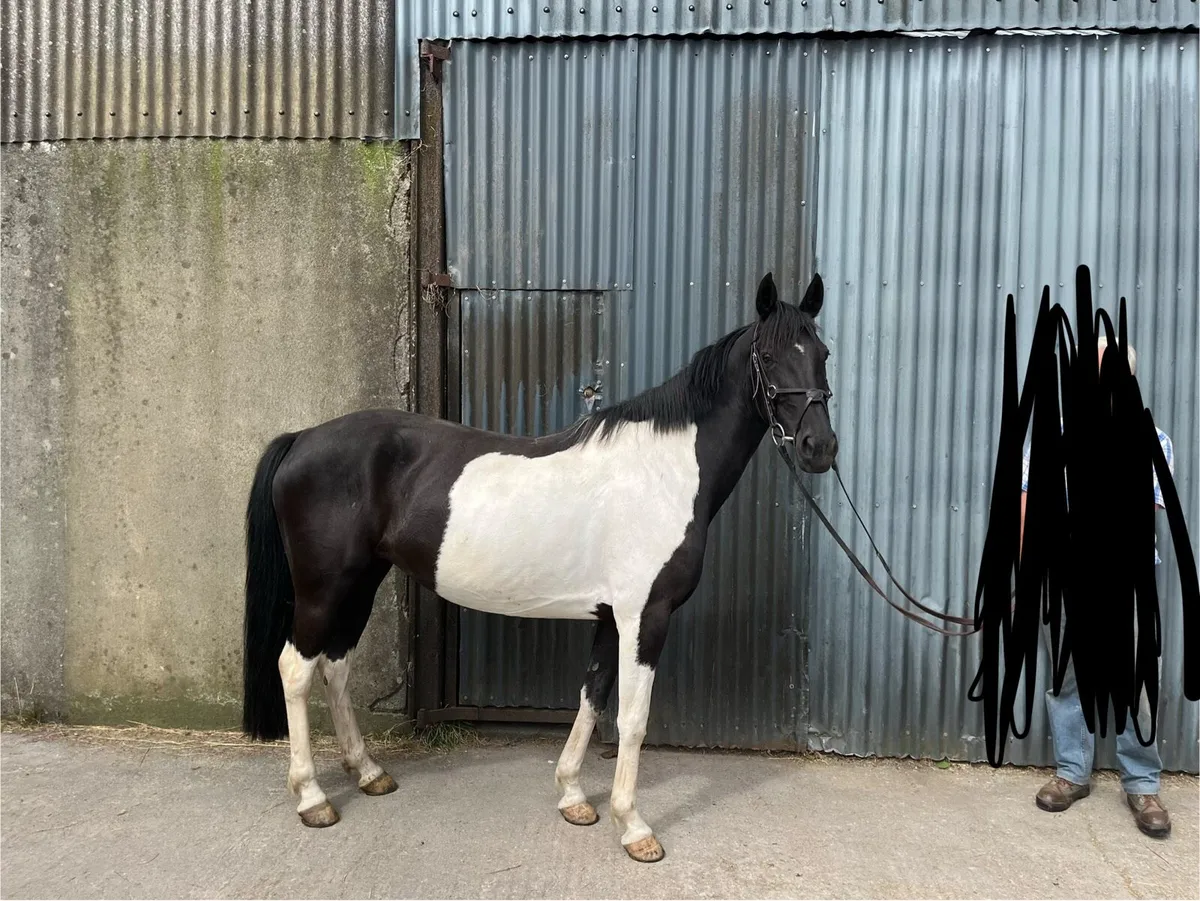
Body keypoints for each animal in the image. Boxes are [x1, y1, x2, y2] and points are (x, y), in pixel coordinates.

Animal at [240, 271, 839, 863]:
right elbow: (633, 719)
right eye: (768, 355)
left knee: (336, 666)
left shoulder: (610, 618)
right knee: (296, 669)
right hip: (323, 588)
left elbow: (593, 697)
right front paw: (634, 826)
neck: (662, 472)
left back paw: (367, 772)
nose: (820, 447)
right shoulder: (645, 616)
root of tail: (302, 439)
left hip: (360, 582)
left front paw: (573, 797)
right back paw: (313, 798)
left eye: (823, 352)